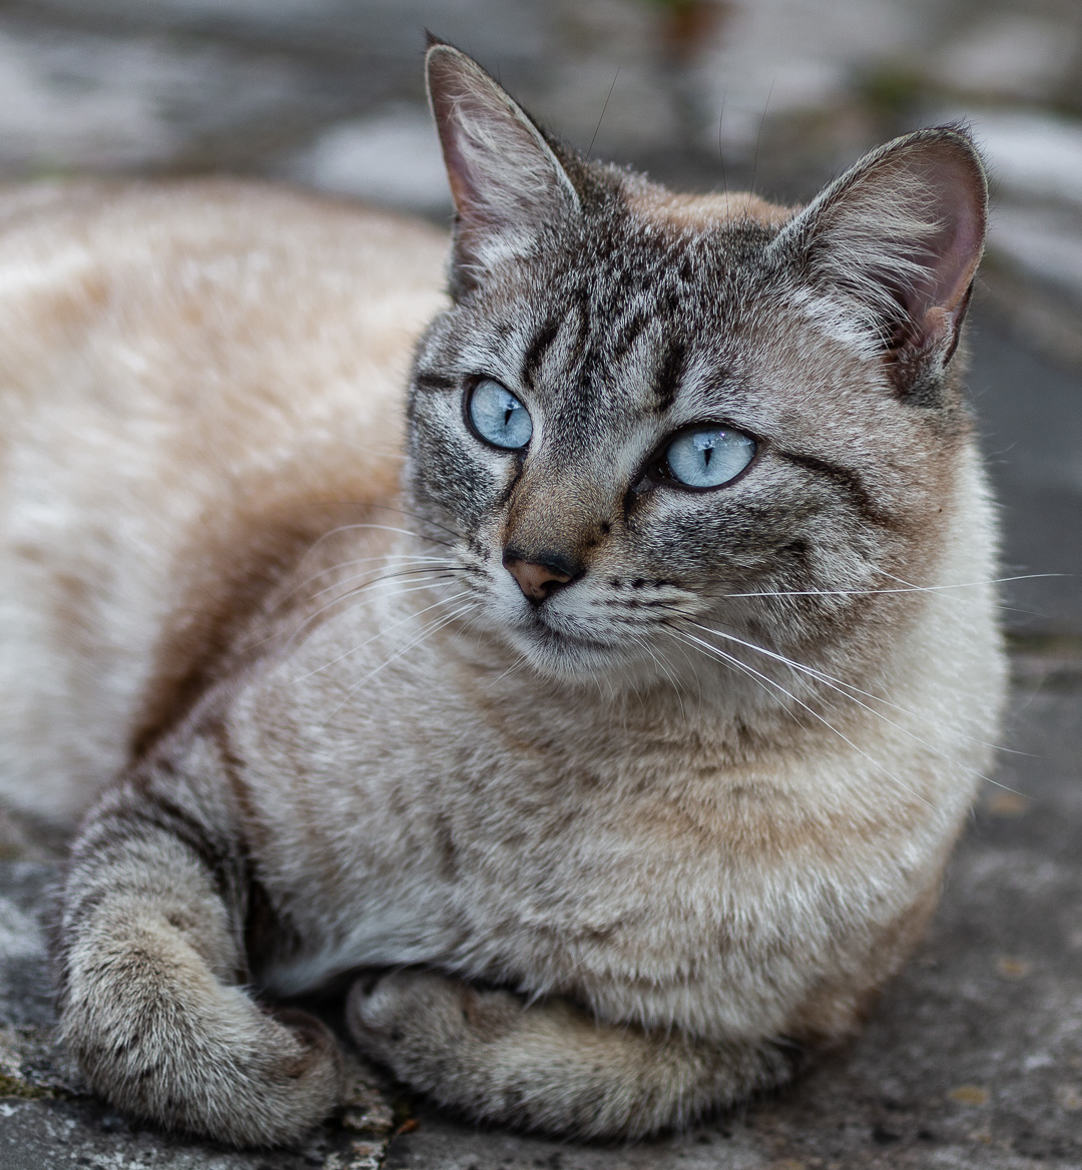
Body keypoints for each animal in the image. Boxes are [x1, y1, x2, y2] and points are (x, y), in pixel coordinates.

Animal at [0, 38, 1001, 1151]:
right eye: (499, 416)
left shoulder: (781, 1040)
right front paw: (295, 1061)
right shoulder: (175, 798)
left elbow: (584, 1082)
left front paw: (397, 1011)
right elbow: (142, 1000)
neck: (600, 755)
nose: (534, 566)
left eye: (703, 458)